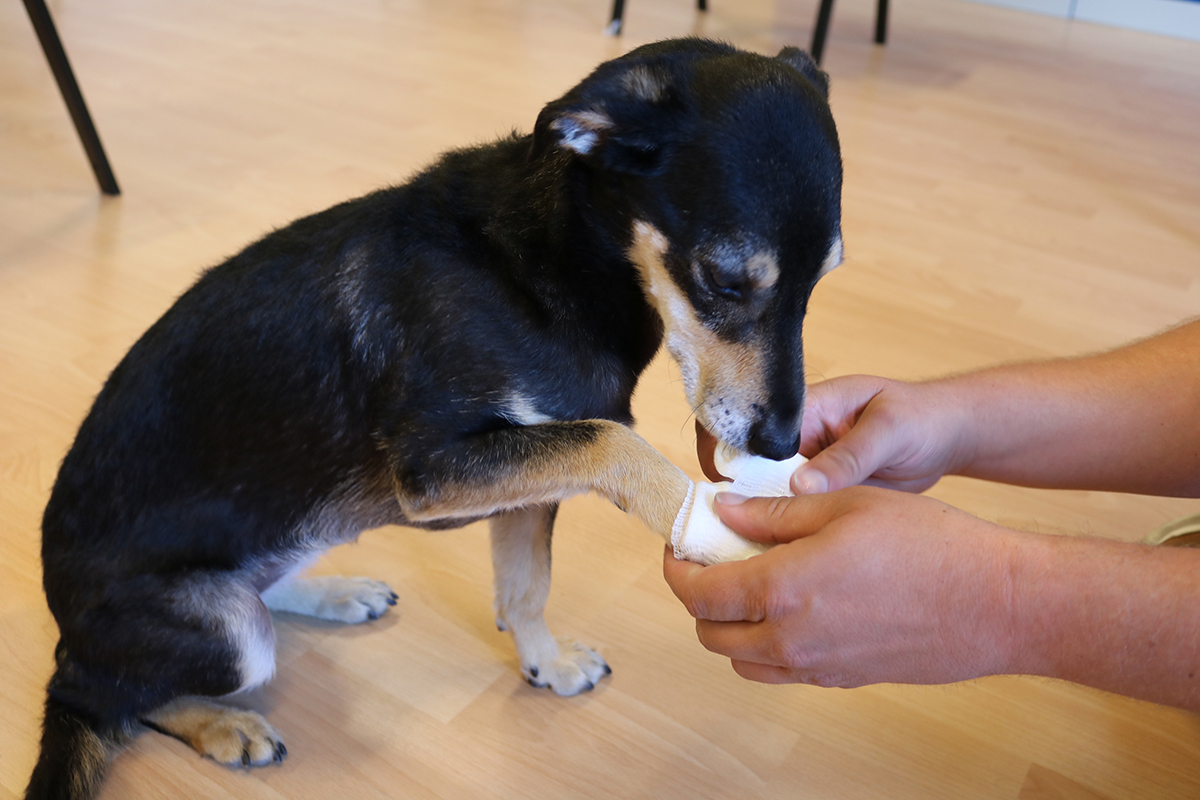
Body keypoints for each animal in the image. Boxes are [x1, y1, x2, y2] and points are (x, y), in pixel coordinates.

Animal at [21, 38, 844, 800]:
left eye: (822, 281)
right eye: (724, 280)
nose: (781, 444)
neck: (549, 267)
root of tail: (63, 627)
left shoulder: (532, 470)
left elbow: (526, 586)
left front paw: (545, 661)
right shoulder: (439, 469)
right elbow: (617, 444)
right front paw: (706, 523)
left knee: (256, 590)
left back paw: (335, 593)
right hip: (225, 636)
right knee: (107, 698)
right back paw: (224, 723)